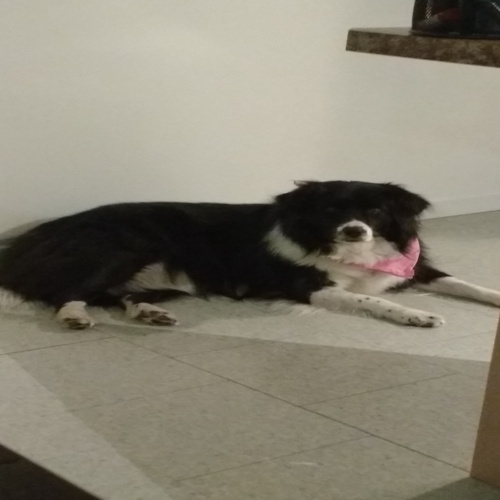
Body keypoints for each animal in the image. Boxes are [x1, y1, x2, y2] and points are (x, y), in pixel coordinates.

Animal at [0, 180, 498, 329]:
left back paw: (146, 312)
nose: (355, 230)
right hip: (123, 247)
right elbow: (370, 298)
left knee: (113, 294)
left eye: (375, 211)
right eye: (332, 211)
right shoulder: (308, 286)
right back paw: (73, 316)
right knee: (65, 290)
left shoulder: (415, 267)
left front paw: (492, 296)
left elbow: (464, 283)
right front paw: (416, 315)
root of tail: (30, 238)